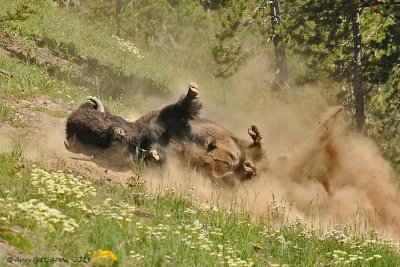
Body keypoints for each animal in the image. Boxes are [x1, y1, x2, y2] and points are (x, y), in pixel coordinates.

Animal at [65, 82, 268, 185]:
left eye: (106, 117)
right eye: (96, 138)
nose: (118, 134)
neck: (143, 136)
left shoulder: (167, 117)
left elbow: (179, 108)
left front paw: (192, 90)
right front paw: (154, 155)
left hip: (241, 143)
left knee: (256, 148)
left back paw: (254, 136)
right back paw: (248, 168)